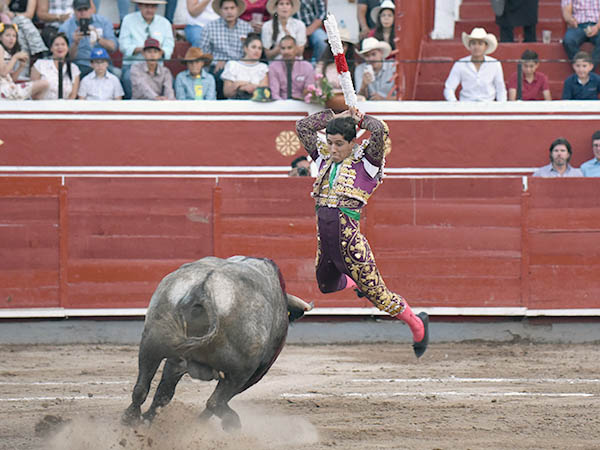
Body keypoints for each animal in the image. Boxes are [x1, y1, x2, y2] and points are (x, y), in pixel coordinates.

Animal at [120, 255, 312, 430]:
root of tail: (203, 289)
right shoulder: (253, 375)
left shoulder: (176, 361)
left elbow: (164, 393)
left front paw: (147, 419)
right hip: (240, 372)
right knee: (214, 403)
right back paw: (230, 424)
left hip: (152, 343)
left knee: (141, 388)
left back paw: (131, 420)